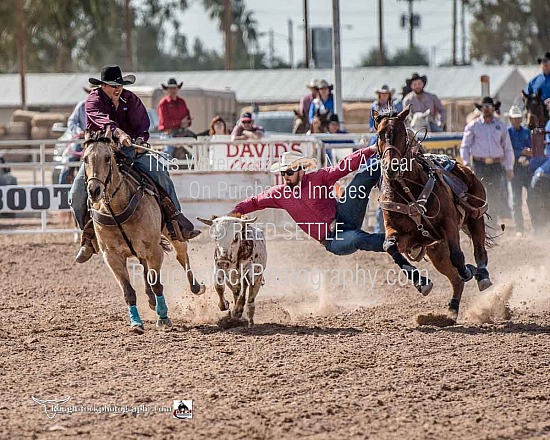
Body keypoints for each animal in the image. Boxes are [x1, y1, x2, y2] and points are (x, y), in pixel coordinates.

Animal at [81, 131, 204, 334]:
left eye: (107, 158)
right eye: (85, 159)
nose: (94, 190)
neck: (116, 210)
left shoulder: (154, 250)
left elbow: (157, 284)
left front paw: (163, 318)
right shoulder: (112, 256)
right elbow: (128, 291)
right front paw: (136, 323)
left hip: (174, 235)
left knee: (182, 256)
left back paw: (196, 287)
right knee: (145, 267)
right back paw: (151, 301)